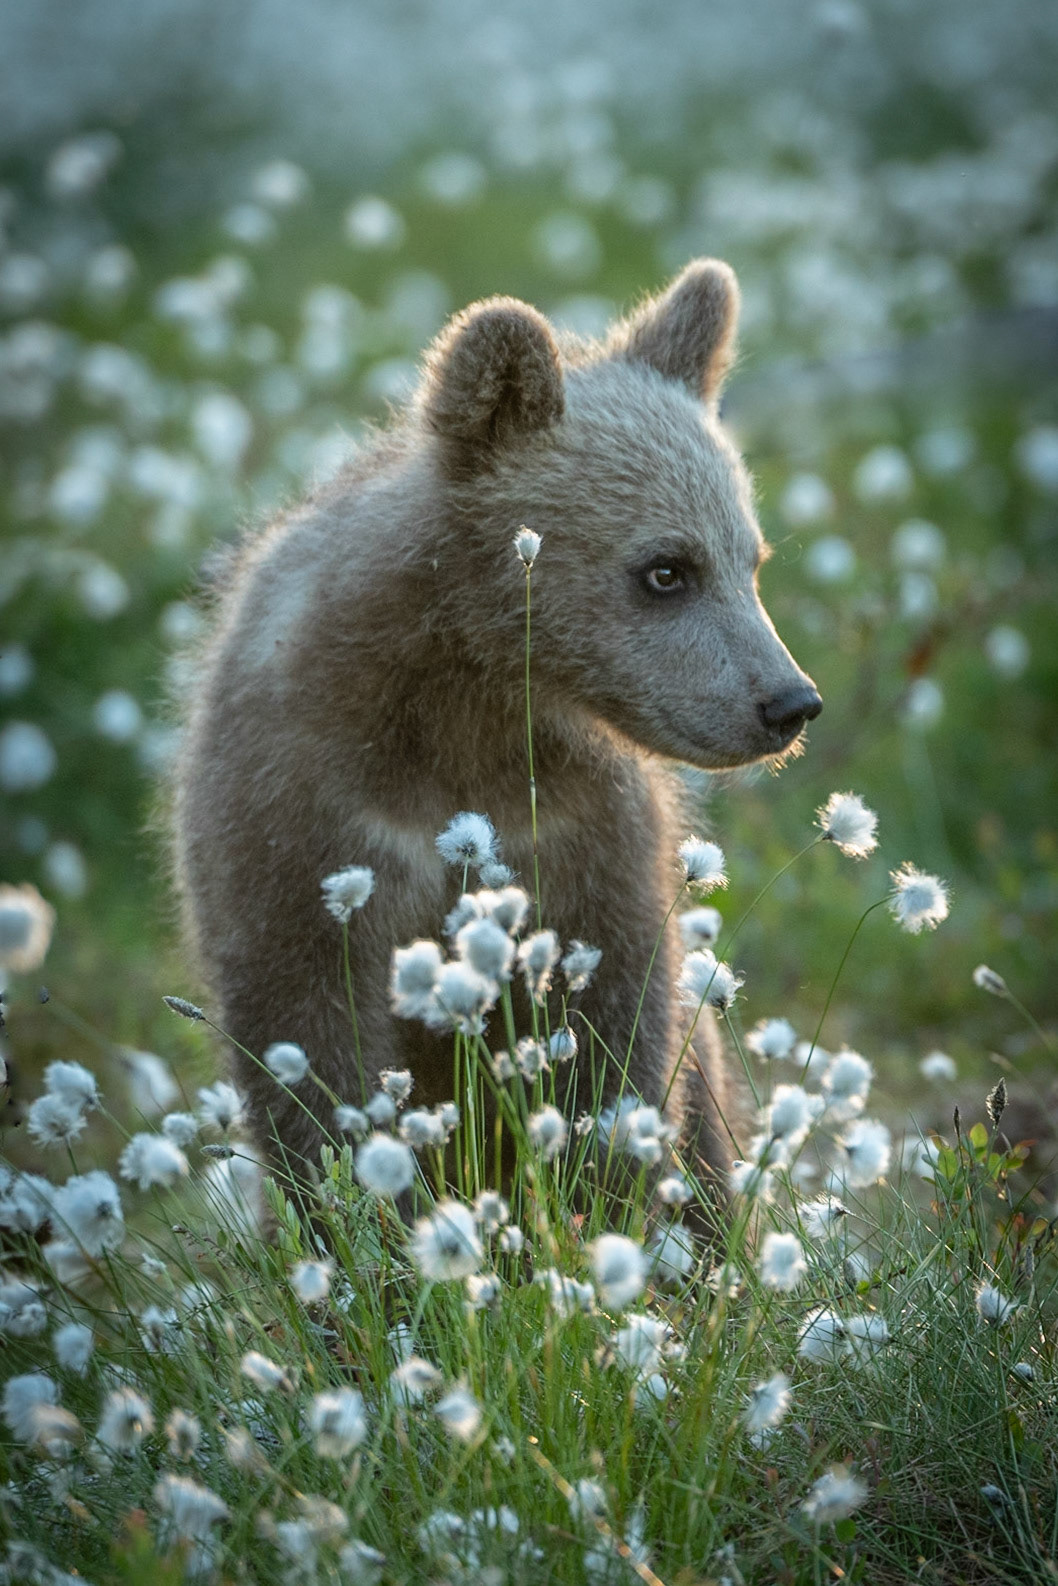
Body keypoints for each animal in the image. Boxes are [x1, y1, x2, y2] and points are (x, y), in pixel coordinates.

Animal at [170, 258, 821, 1195]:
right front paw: (363, 1202)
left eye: (752, 560)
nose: (787, 703)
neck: (466, 689)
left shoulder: (575, 827)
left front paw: (607, 1186)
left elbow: (613, 1026)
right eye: (667, 569)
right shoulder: (304, 810)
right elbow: (307, 1032)